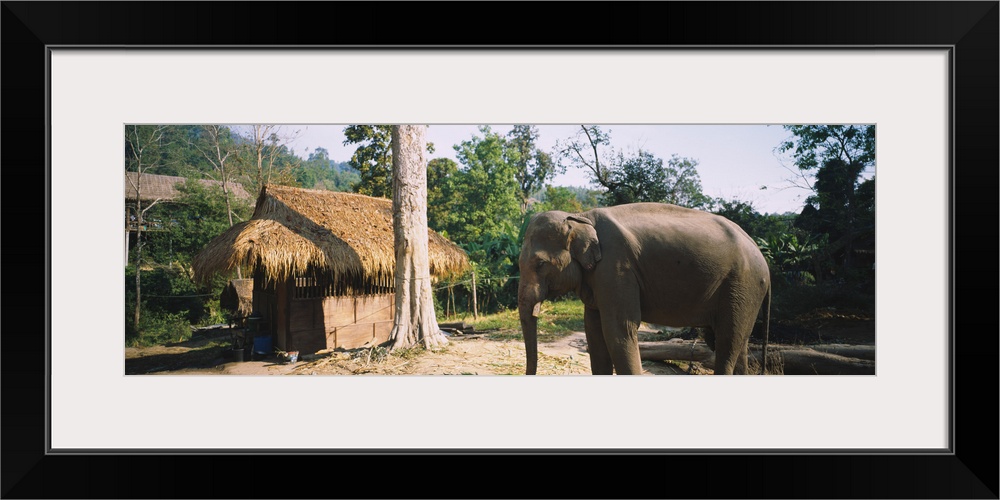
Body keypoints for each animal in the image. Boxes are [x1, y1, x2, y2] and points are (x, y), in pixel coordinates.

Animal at [520, 203, 768, 376]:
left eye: (540, 264)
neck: (580, 216)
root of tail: (759, 250)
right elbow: (593, 329)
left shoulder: (616, 268)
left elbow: (619, 329)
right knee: (734, 341)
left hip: (743, 284)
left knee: (727, 339)